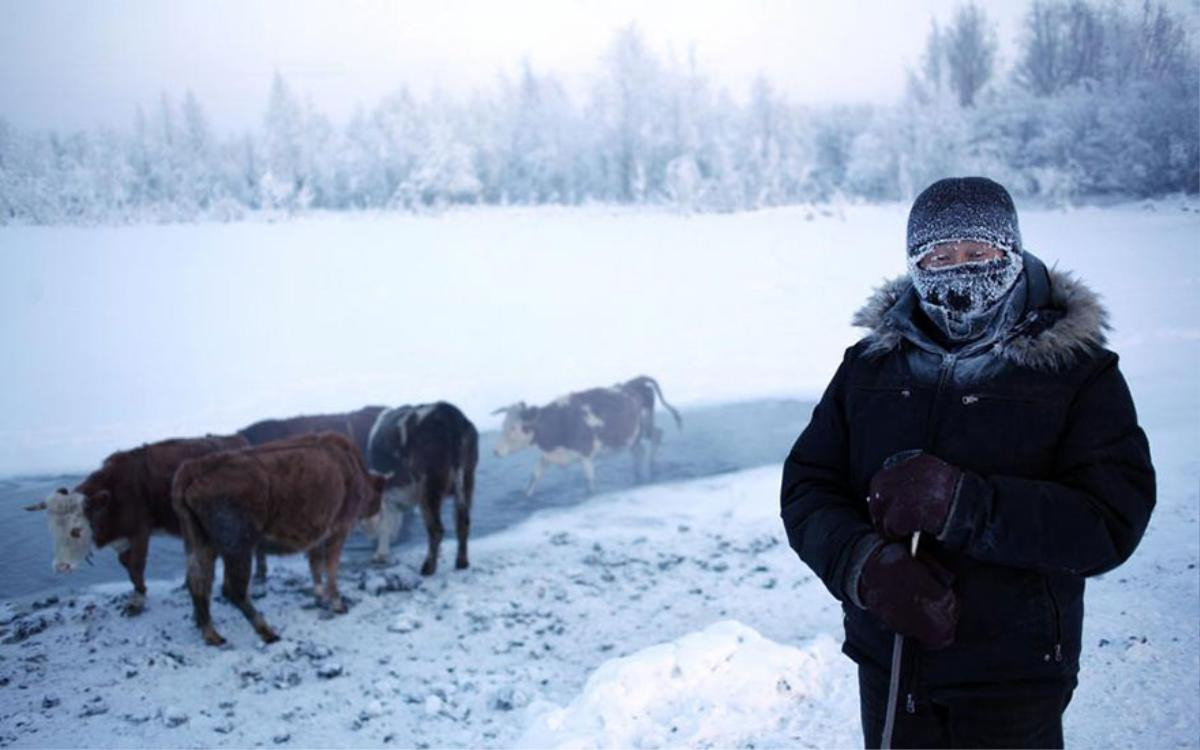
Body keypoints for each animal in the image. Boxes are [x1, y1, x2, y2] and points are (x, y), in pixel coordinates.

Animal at [24, 432, 250, 614]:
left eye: (76, 530)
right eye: (51, 530)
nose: (61, 566)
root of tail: (236, 438)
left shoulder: (139, 533)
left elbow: (136, 567)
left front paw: (138, 601)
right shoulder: (122, 539)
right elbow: (126, 565)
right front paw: (138, 592)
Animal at [169, 429, 381, 648]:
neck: (351, 465)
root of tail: (192, 469)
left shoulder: (317, 537)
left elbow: (315, 567)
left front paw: (319, 598)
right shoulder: (338, 530)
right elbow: (330, 569)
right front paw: (338, 604)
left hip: (200, 544)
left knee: (198, 582)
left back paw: (210, 633)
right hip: (238, 547)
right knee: (232, 589)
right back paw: (266, 631)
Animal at [360, 403, 477, 573]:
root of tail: (447, 412)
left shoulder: (387, 495)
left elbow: (385, 525)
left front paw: (380, 555)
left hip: (429, 487)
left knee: (436, 529)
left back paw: (428, 567)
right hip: (466, 480)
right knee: (462, 522)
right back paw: (461, 562)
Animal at [487, 374, 676, 496]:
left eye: (514, 428)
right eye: (503, 424)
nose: (496, 451)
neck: (558, 422)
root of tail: (635, 382)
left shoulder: (586, 455)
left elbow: (589, 484)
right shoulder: (549, 455)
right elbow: (534, 477)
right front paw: (525, 496)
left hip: (645, 426)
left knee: (657, 436)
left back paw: (652, 467)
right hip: (633, 436)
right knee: (641, 450)